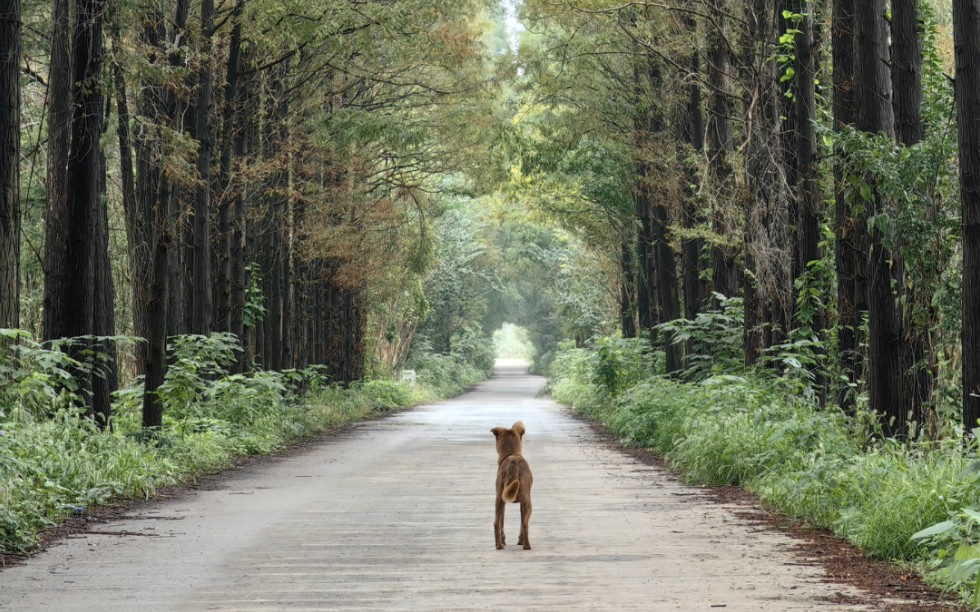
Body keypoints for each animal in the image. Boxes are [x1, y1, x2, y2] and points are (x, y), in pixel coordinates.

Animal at [494, 420, 532, 548]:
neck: (512, 453)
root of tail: (513, 463)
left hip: (500, 499)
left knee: (497, 523)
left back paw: (500, 545)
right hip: (526, 502)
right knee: (524, 524)